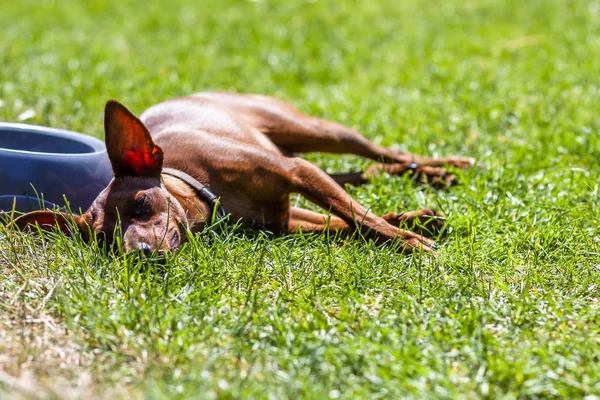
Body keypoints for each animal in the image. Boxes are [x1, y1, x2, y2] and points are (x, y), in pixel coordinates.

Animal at [12, 93, 474, 253]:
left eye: (141, 204)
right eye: (104, 240)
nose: (138, 253)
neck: (208, 188)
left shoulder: (298, 172)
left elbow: (359, 218)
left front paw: (410, 241)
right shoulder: (286, 221)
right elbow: (348, 223)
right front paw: (412, 224)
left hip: (319, 133)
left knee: (384, 153)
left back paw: (446, 168)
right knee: (366, 174)